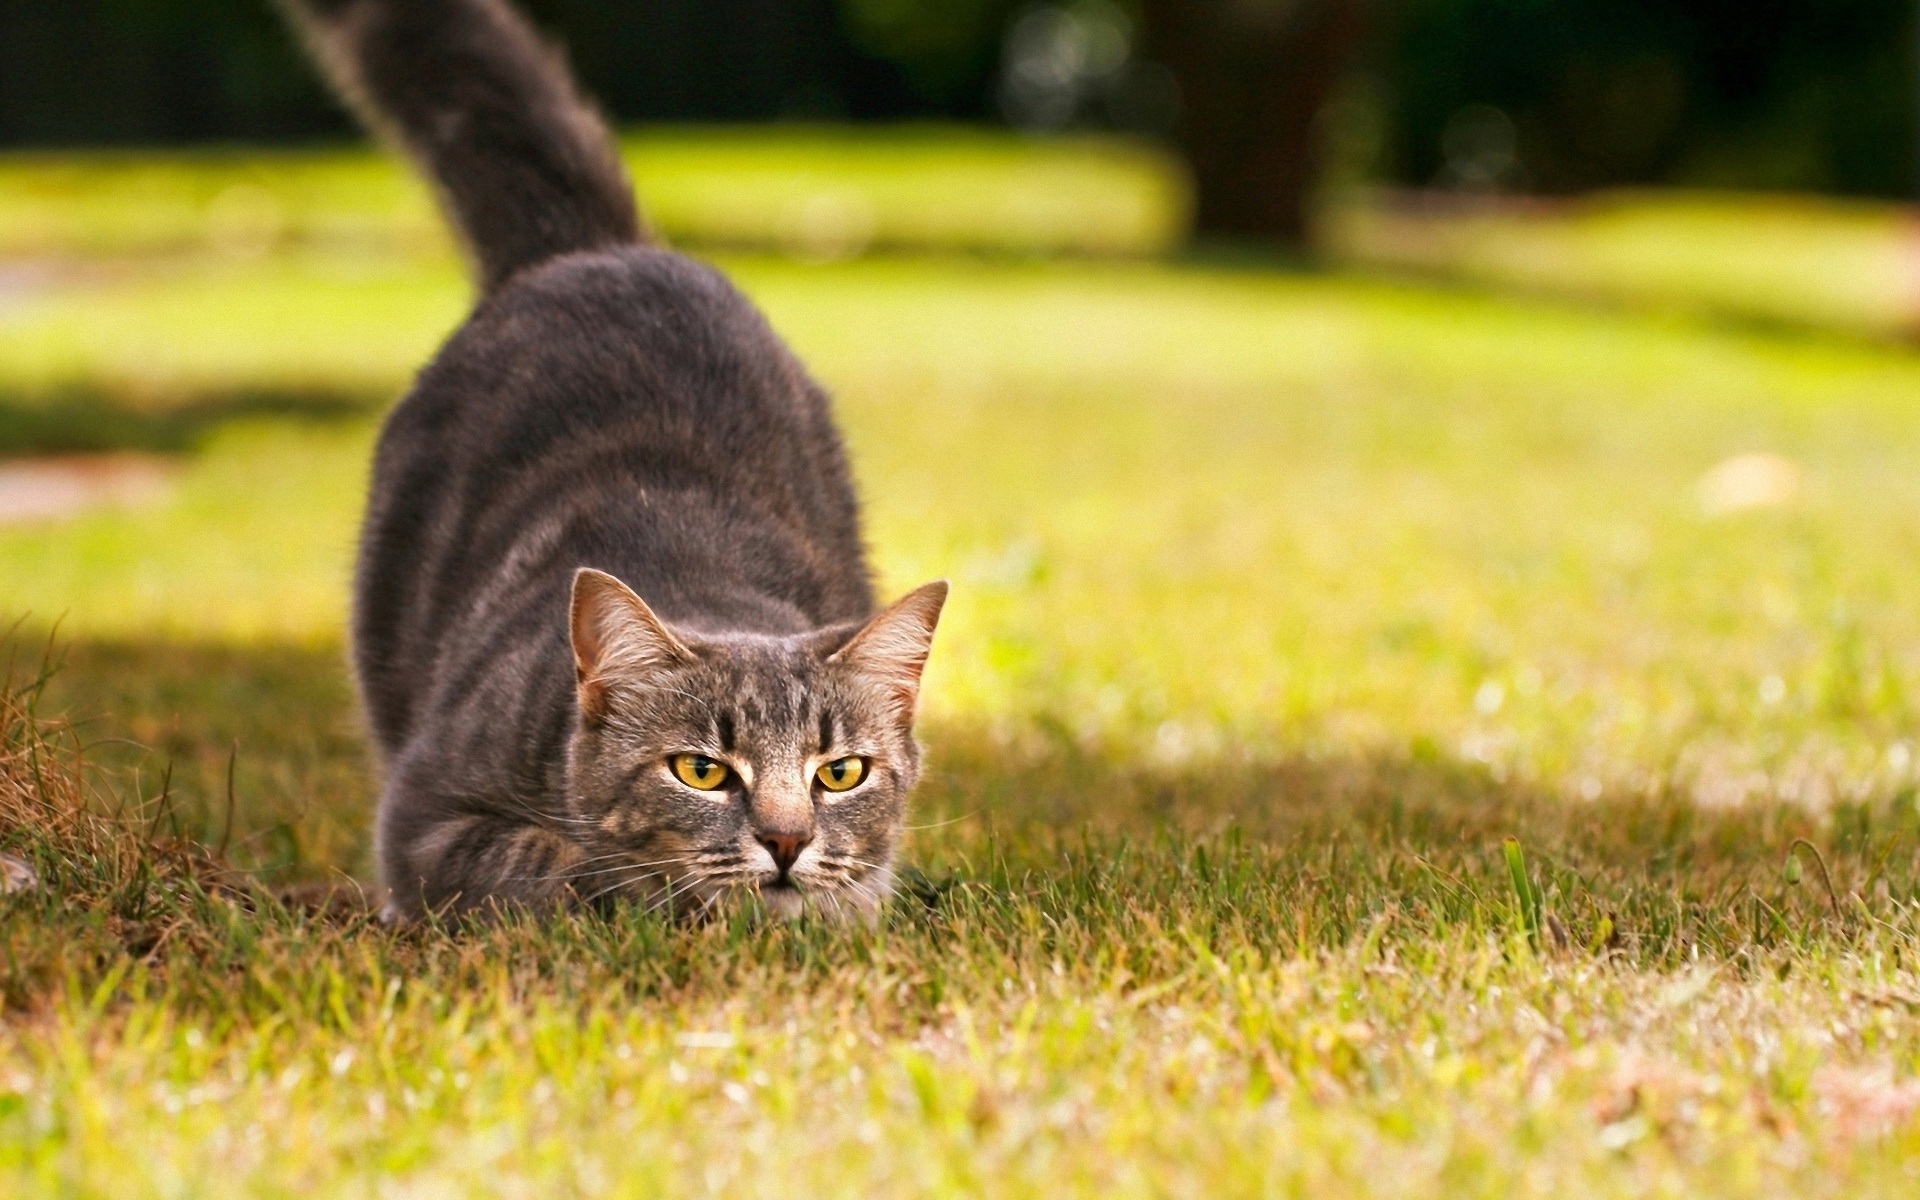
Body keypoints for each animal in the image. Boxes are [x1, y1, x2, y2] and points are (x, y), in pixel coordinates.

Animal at [280, 0, 952, 921]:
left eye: (840, 773)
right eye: (702, 771)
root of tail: (597, 249)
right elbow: (564, 867)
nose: (786, 840)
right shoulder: (425, 820)